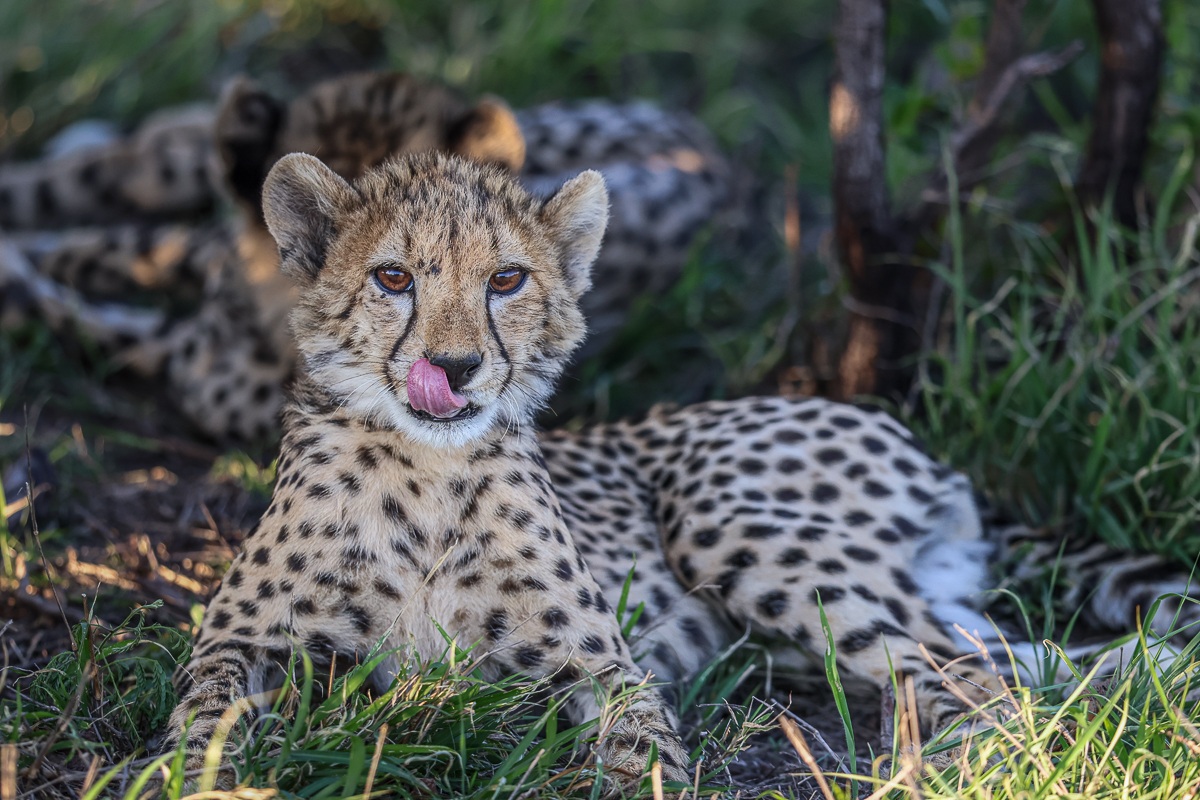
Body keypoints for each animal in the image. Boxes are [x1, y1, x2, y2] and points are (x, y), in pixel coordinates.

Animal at [166, 150, 1199, 791]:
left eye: (506, 280)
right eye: (392, 279)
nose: (453, 368)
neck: (426, 469)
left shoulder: (603, 658)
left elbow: (639, 737)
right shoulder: (237, 638)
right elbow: (201, 712)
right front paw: (186, 774)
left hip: (724, 522)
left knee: (974, 683)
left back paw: (953, 768)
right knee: (1014, 662)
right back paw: (1140, 677)